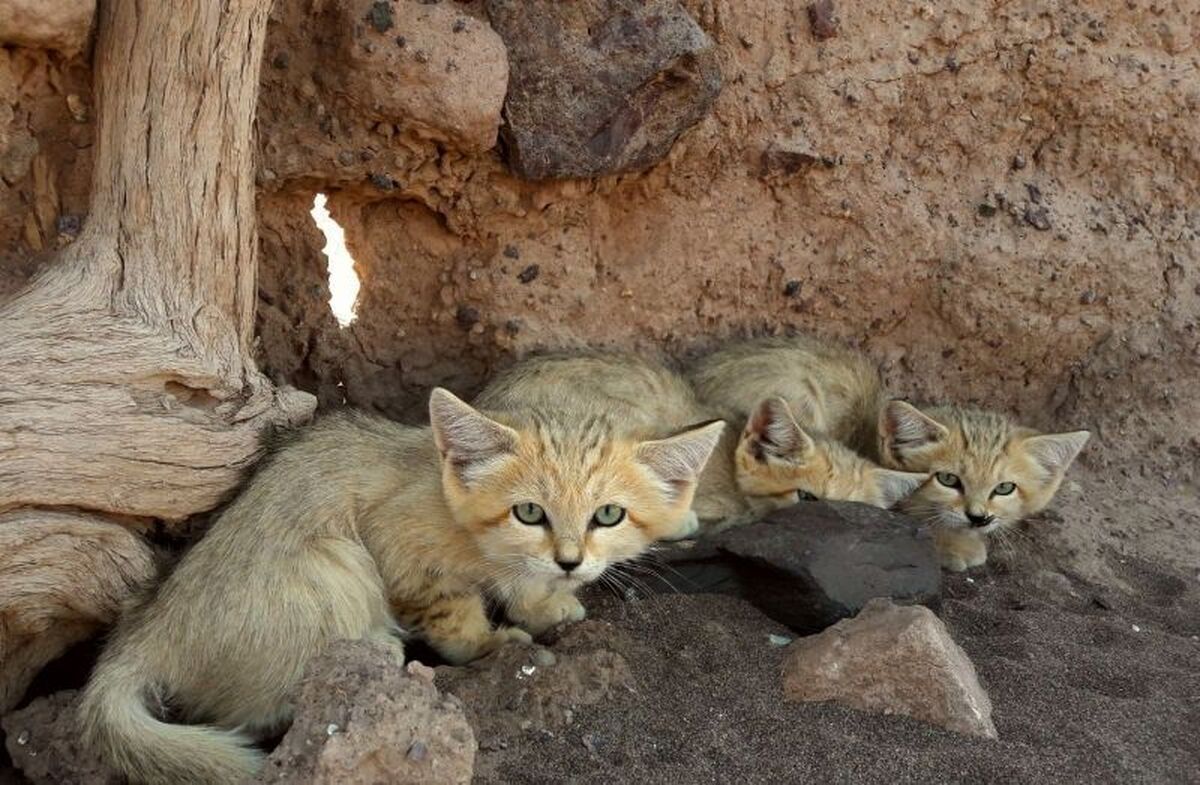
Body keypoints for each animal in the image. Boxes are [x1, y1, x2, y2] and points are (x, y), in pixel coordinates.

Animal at [84, 388, 724, 785]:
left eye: (608, 516)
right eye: (529, 512)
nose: (570, 560)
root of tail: (149, 628)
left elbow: (524, 586)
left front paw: (548, 604)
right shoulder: (396, 549)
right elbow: (452, 613)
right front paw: (492, 643)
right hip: (338, 564)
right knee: (257, 709)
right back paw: (377, 655)